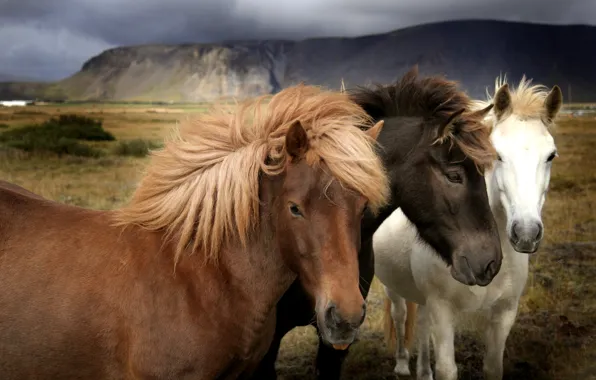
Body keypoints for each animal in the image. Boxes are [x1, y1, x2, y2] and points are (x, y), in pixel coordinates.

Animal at [374, 76, 560, 380]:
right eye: (498, 155)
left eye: (551, 156)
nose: (526, 233)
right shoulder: (442, 310)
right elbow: (447, 369)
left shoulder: (504, 313)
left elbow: (493, 366)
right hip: (393, 287)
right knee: (400, 316)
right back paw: (402, 364)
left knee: (421, 323)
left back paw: (423, 371)